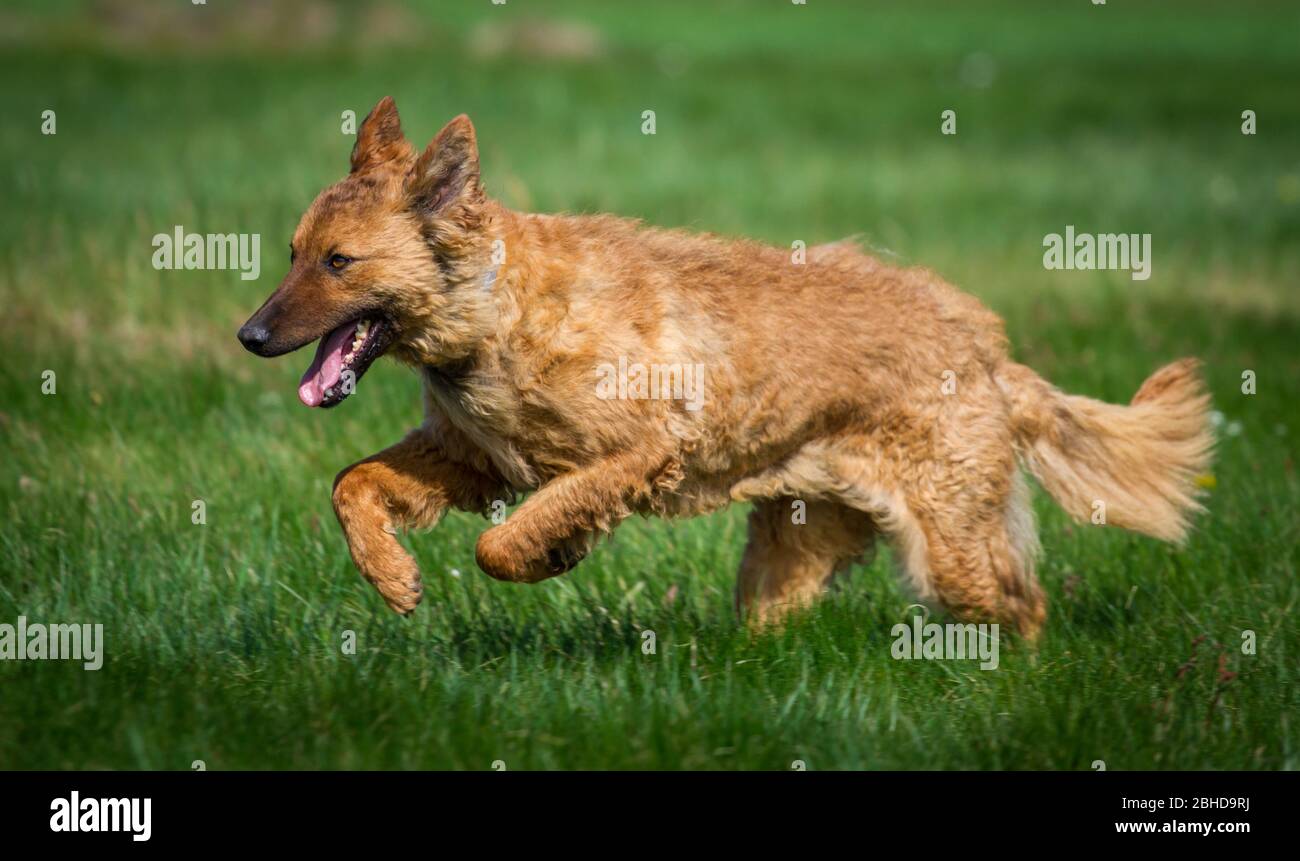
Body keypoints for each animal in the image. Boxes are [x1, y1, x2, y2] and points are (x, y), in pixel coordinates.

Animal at [239, 99, 1211, 639]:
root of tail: (990, 353)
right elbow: (352, 482)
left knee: (1024, 604)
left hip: (950, 547)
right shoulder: (472, 457)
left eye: (338, 262)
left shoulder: (636, 450)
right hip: (790, 548)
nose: (250, 335)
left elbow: (504, 538)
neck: (494, 313)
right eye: (291, 253)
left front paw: (549, 553)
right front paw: (392, 576)